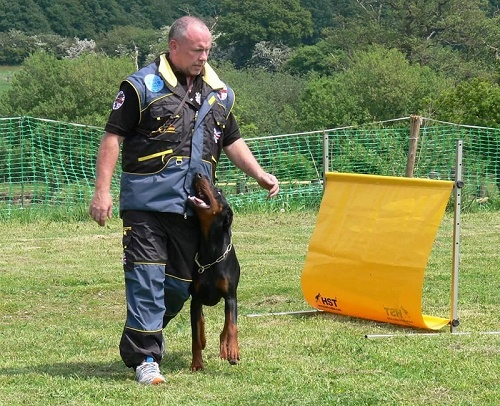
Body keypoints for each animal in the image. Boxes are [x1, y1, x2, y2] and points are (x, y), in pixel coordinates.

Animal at [188, 172, 242, 372]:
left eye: (218, 191)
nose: (198, 174)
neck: (211, 249)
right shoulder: (195, 298)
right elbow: (195, 336)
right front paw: (197, 364)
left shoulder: (231, 297)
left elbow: (232, 326)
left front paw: (233, 351)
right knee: (201, 322)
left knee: (225, 328)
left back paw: (225, 350)